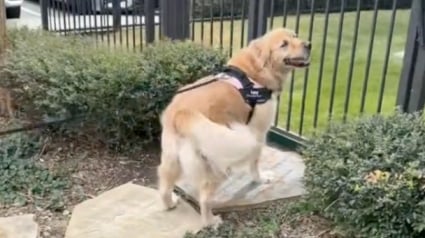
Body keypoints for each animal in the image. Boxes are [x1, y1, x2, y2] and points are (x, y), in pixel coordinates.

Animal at [157, 27, 310, 227]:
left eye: (295, 36)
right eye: (283, 44)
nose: (308, 44)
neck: (256, 71)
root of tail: (181, 114)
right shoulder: (258, 133)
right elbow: (255, 163)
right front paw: (260, 178)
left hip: (172, 159)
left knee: (164, 185)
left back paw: (169, 204)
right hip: (217, 165)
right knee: (204, 198)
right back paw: (211, 221)